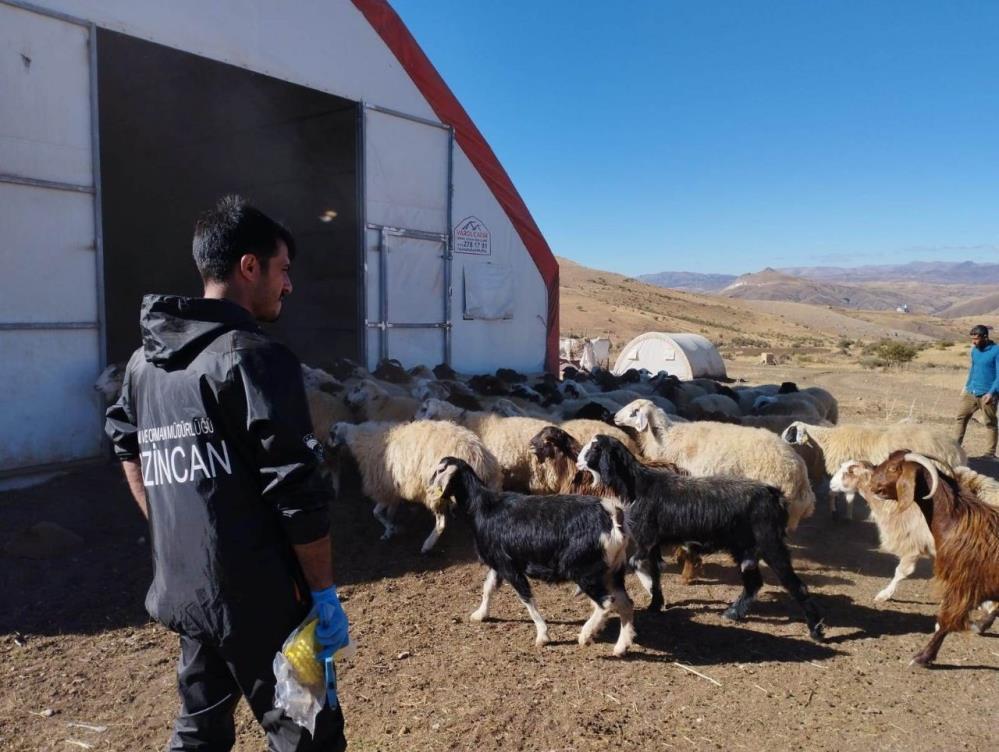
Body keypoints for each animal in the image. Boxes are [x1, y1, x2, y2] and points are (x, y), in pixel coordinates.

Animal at [328, 418, 500, 552]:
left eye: (331, 433)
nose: (327, 447)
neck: (361, 438)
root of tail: (479, 458)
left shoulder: (384, 487)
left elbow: (376, 512)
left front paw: (389, 527)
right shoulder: (394, 489)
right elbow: (390, 511)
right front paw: (391, 529)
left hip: (435, 491)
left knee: (441, 524)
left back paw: (427, 545)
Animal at [428, 456, 632, 656]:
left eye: (439, 470)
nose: (429, 489)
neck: (484, 506)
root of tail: (611, 518)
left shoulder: (510, 568)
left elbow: (526, 598)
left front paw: (543, 635)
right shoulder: (499, 562)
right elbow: (489, 587)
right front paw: (480, 614)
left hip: (583, 570)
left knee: (607, 602)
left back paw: (586, 635)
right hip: (613, 571)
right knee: (626, 603)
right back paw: (621, 647)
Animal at [580, 434, 828, 640]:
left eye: (594, 447)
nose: (579, 462)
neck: (639, 486)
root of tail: (774, 494)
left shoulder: (645, 539)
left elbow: (636, 563)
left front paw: (649, 593)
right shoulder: (653, 543)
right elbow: (656, 572)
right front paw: (655, 604)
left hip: (770, 543)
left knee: (796, 585)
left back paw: (816, 630)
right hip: (744, 548)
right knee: (753, 582)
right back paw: (732, 613)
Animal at [852, 450, 999, 668]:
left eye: (893, 468)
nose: (872, 482)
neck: (954, 519)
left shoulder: (962, 583)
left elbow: (947, 620)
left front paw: (923, 657)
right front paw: (979, 624)